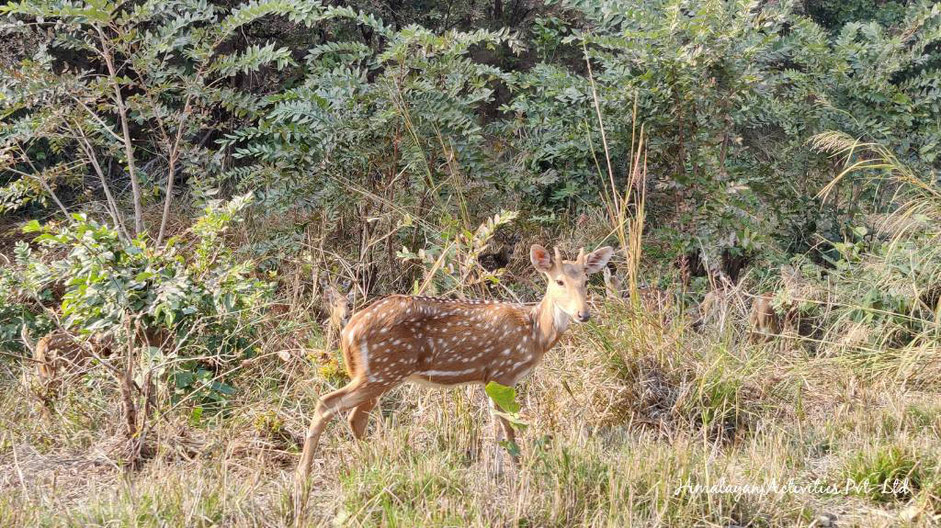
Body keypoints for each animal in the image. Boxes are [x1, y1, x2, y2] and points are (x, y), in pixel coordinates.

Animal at [296, 245, 616, 516]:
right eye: (559, 281)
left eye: (586, 281)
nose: (583, 314)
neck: (535, 332)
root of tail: (349, 329)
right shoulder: (503, 372)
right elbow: (508, 428)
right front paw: (519, 469)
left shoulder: (489, 378)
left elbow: (497, 428)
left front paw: (498, 473)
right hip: (383, 370)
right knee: (327, 403)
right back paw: (304, 477)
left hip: (376, 373)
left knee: (354, 417)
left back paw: (375, 462)